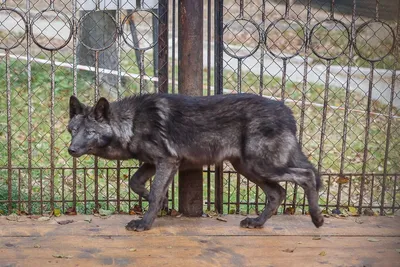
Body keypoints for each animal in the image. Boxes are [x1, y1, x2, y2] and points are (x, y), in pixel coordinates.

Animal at [69, 93, 324, 231]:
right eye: (72, 130)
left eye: (90, 132)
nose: (71, 149)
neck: (130, 122)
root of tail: (287, 112)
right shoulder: (154, 164)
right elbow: (137, 184)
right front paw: (164, 204)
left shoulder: (166, 161)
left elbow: (154, 194)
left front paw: (144, 224)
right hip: (248, 168)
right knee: (278, 193)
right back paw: (258, 222)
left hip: (262, 167)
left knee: (308, 175)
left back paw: (317, 218)